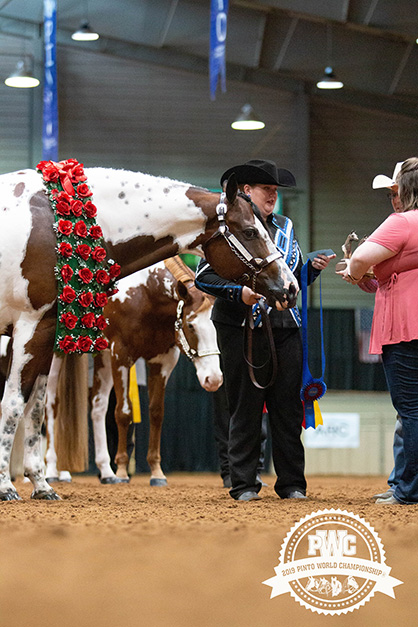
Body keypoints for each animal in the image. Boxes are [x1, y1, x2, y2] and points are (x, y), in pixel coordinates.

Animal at [45, 255, 222, 486]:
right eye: (191, 325)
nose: (214, 379)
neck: (145, 292)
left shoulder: (163, 361)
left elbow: (156, 412)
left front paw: (156, 472)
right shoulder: (120, 355)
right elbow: (123, 412)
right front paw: (121, 470)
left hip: (101, 358)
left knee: (98, 407)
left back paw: (104, 471)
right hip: (59, 355)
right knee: (50, 405)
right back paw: (50, 469)